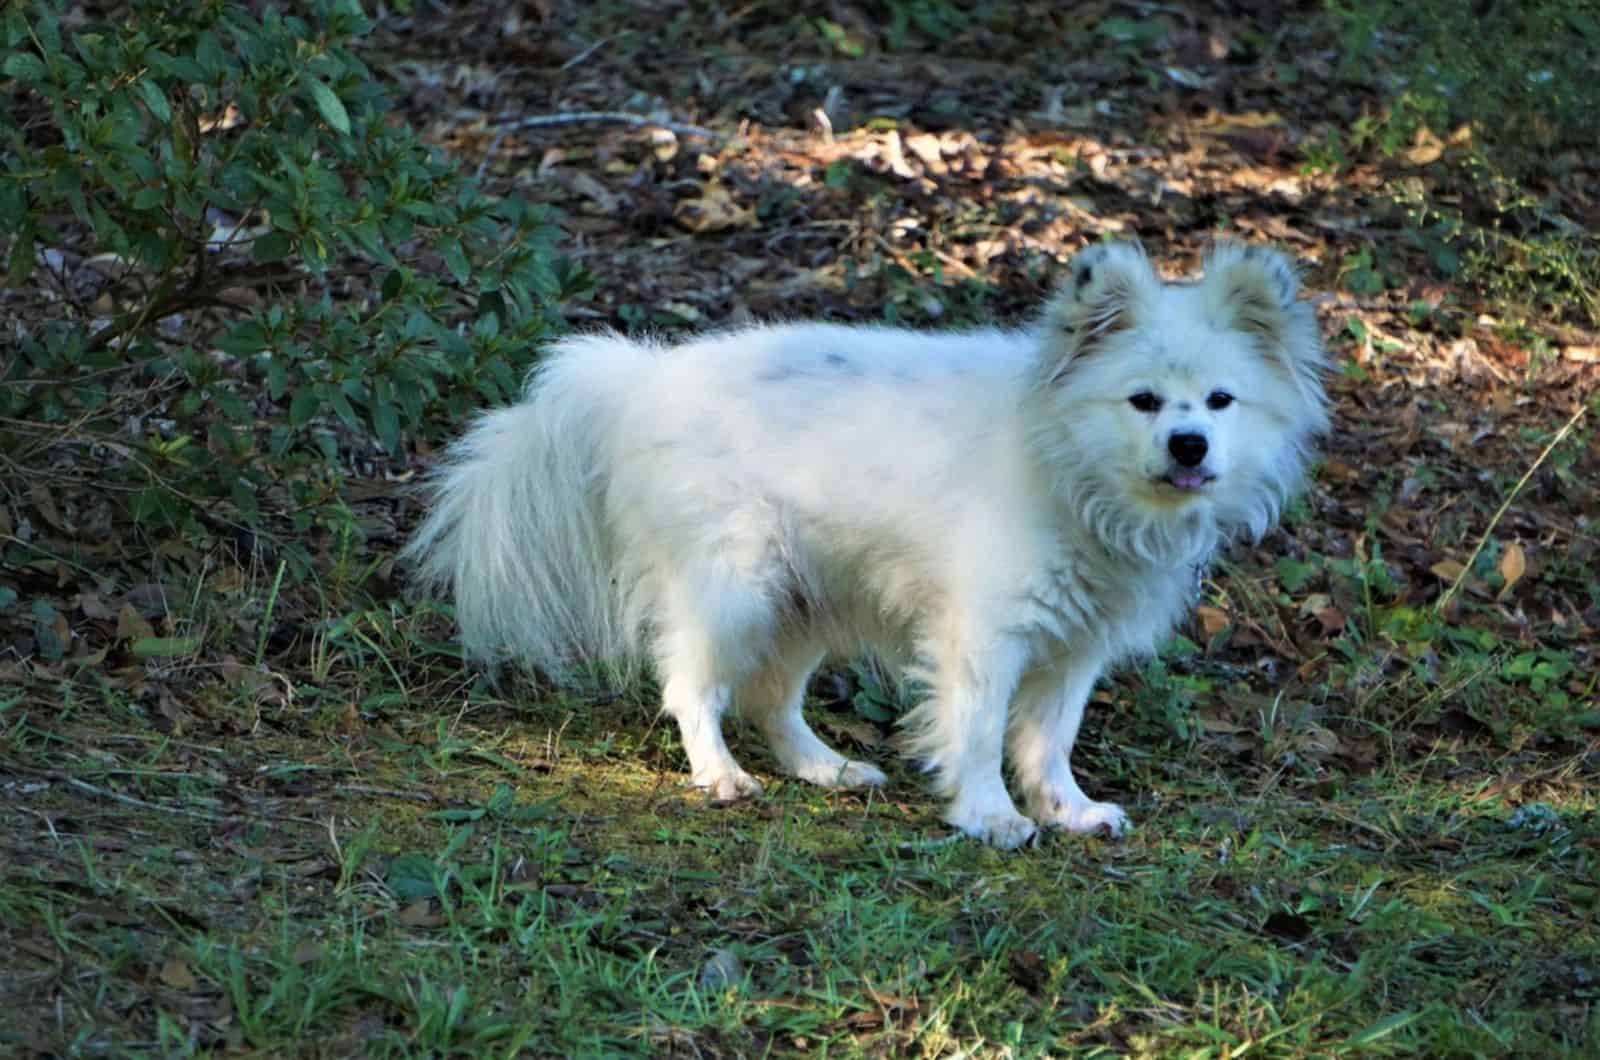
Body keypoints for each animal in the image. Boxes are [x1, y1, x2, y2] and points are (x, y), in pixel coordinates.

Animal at [409, 240, 1324, 845]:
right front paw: (991, 816)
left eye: (1220, 401)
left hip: (804, 600)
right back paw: (720, 776)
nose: (1189, 446)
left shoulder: (1073, 649)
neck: (1067, 462)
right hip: (734, 589)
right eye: (1143, 402)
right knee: (692, 687)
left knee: (771, 700)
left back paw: (826, 769)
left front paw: (1067, 810)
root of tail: (641, 380)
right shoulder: (984, 639)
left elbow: (1049, 740)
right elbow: (980, 732)